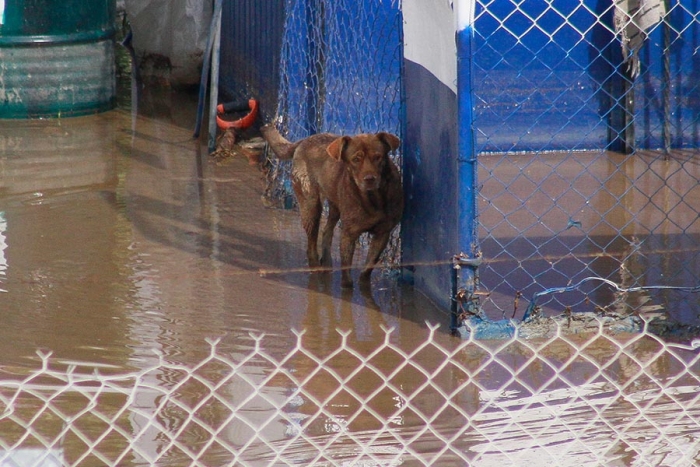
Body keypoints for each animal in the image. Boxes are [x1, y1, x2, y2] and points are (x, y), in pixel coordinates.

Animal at [262, 123, 404, 288]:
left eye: (377, 157)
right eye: (356, 159)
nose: (370, 179)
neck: (373, 198)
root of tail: (305, 140)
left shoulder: (383, 233)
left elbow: (367, 269)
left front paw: (364, 285)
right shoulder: (348, 235)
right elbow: (347, 274)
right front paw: (347, 287)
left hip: (335, 205)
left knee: (326, 231)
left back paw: (326, 262)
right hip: (311, 206)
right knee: (311, 247)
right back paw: (316, 270)